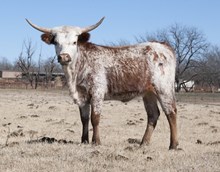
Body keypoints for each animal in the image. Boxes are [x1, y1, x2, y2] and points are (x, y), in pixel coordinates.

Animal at [27, 17, 179, 149]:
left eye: (74, 42)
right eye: (56, 42)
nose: (64, 57)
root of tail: (162, 45)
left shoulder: (97, 92)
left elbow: (95, 118)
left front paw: (96, 142)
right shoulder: (82, 96)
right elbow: (84, 118)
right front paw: (84, 141)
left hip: (164, 89)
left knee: (171, 112)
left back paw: (173, 145)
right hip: (148, 93)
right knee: (153, 115)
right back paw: (143, 143)